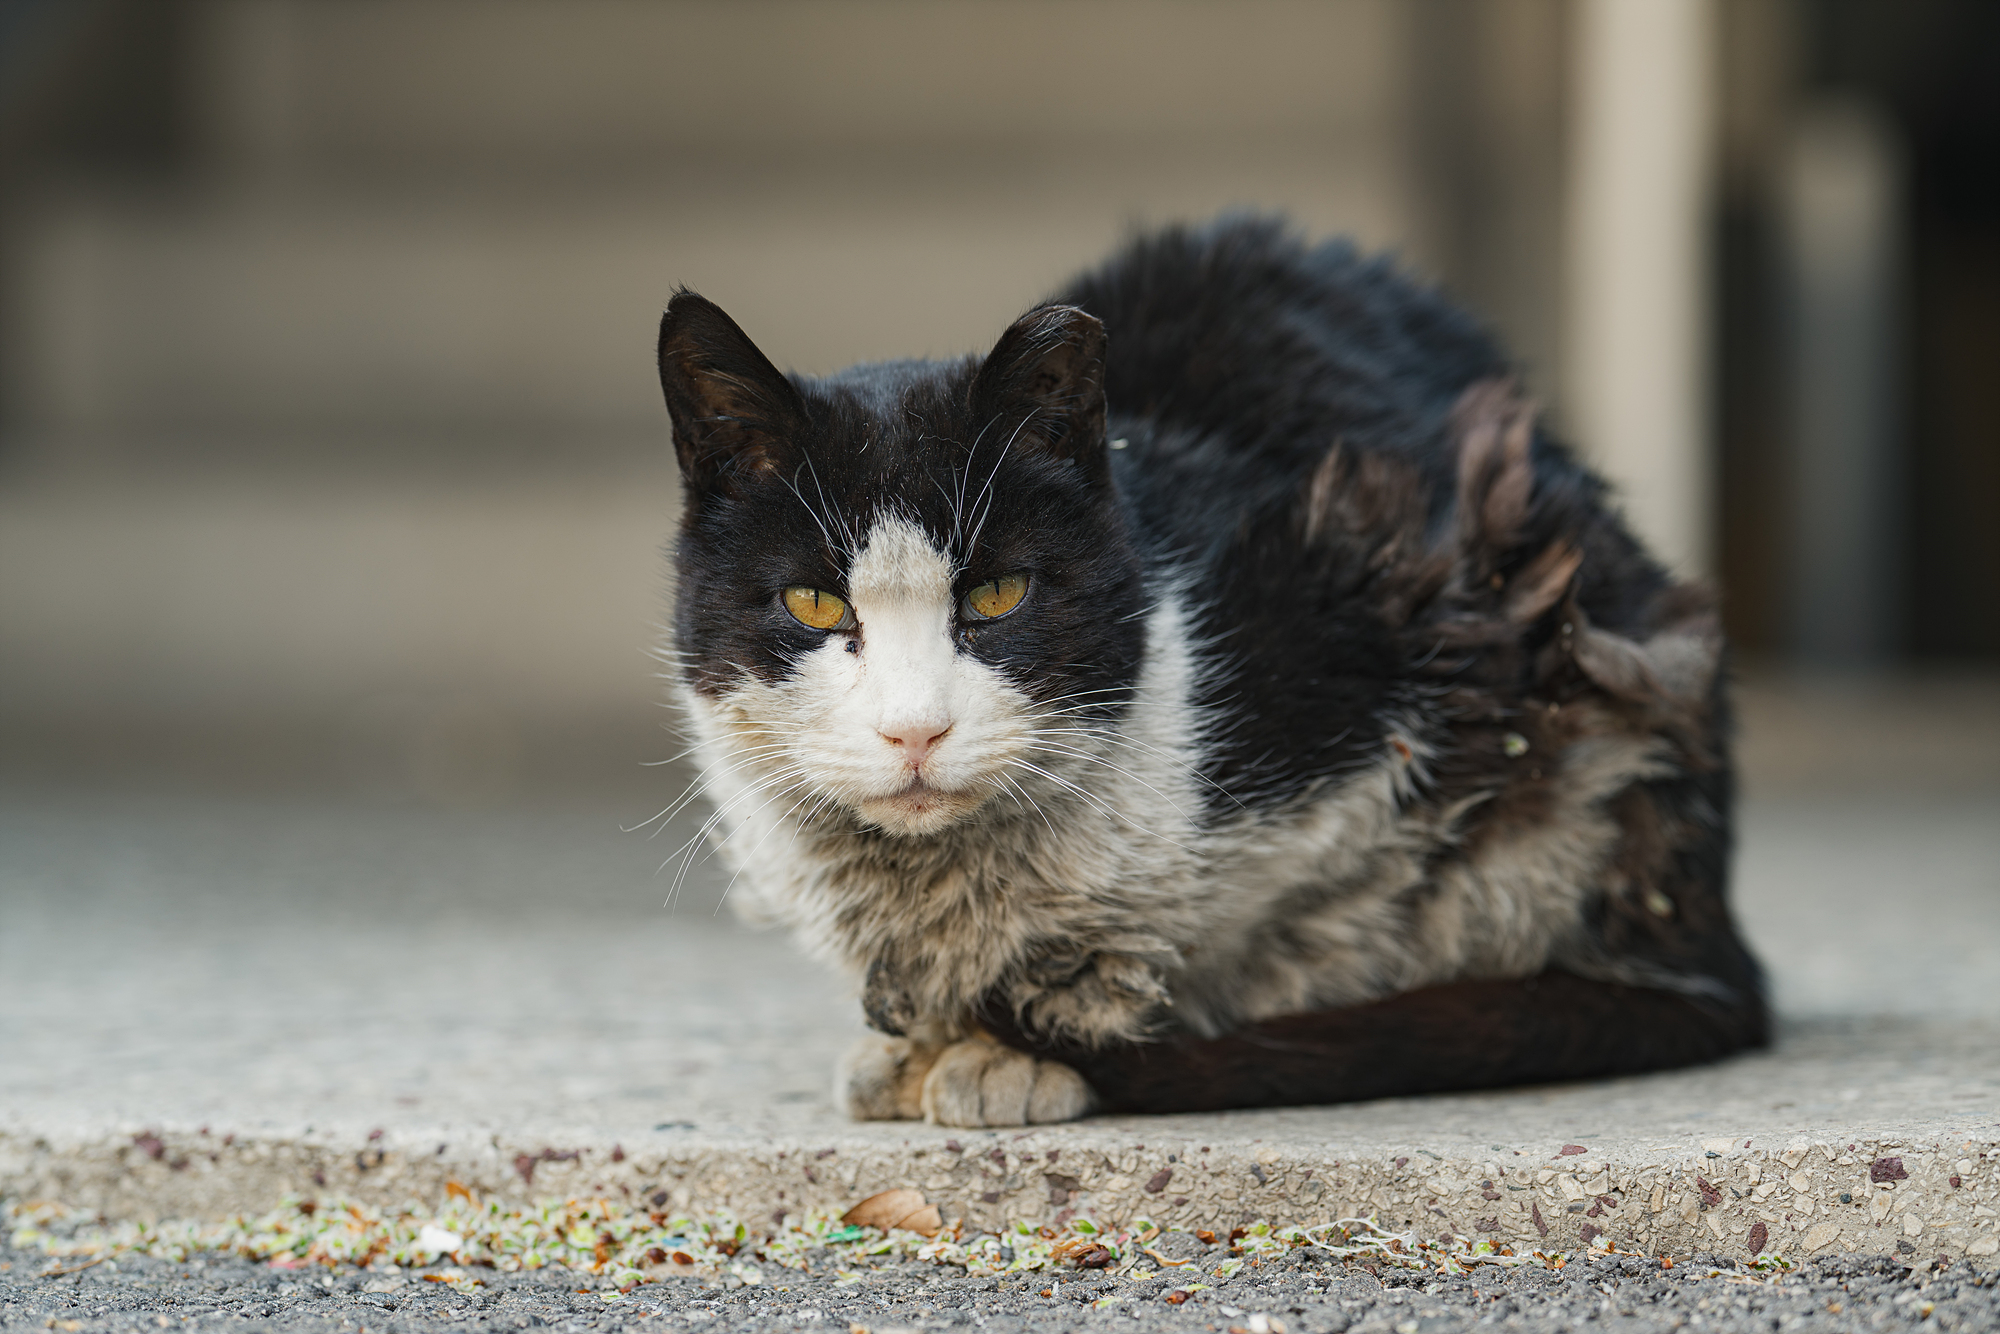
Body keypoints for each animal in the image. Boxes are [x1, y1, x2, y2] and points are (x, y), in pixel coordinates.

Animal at [656, 217, 1768, 1128]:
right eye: (812, 604)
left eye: (998, 595)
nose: (914, 729)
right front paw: (926, 1040)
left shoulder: (1408, 647)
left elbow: (1300, 923)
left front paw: (1034, 1043)